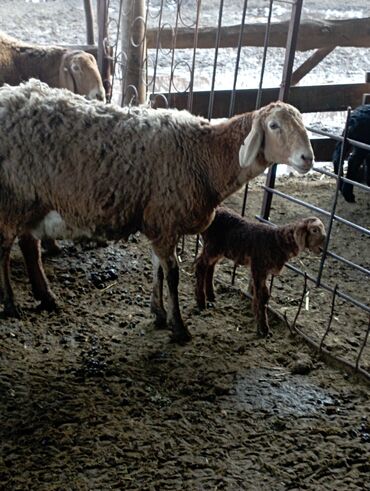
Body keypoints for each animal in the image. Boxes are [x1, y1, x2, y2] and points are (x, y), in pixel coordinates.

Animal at [195, 208, 326, 338]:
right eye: (314, 230)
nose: (321, 249)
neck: (278, 241)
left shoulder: (263, 271)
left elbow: (263, 294)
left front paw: (259, 321)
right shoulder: (259, 267)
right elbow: (262, 295)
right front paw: (263, 329)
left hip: (219, 249)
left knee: (210, 267)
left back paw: (211, 296)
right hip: (212, 245)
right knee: (201, 265)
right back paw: (201, 301)